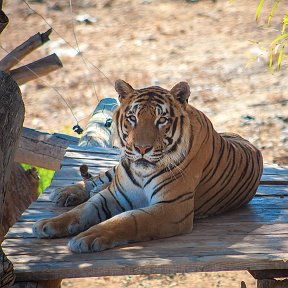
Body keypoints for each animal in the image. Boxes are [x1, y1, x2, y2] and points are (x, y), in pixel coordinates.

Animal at [33, 79, 264, 252]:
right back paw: (66, 192)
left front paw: (88, 236)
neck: (142, 173)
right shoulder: (114, 194)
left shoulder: (172, 208)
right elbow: (82, 210)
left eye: (161, 120)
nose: (141, 148)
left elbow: (128, 219)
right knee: (99, 178)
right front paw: (48, 224)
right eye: (132, 118)